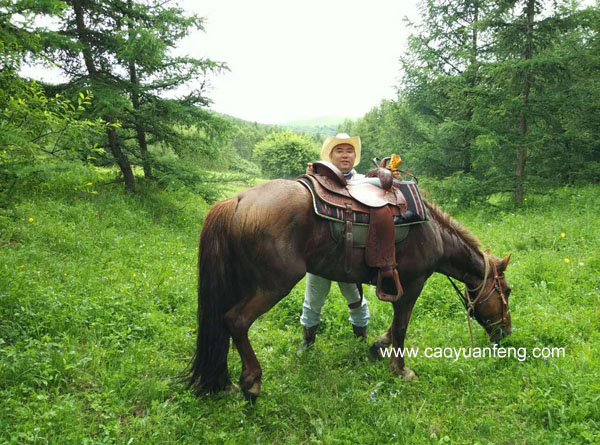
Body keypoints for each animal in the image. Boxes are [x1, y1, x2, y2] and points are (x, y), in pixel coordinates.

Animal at [185, 179, 512, 400]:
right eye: (507, 291)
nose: (506, 333)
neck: (433, 231)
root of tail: (237, 199)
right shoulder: (413, 284)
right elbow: (401, 328)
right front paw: (400, 369)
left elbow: (392, 328)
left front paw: (377, 346)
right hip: (273, 285)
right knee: (236, 321)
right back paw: (251, 383)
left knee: (224, 324)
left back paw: (223, 382)